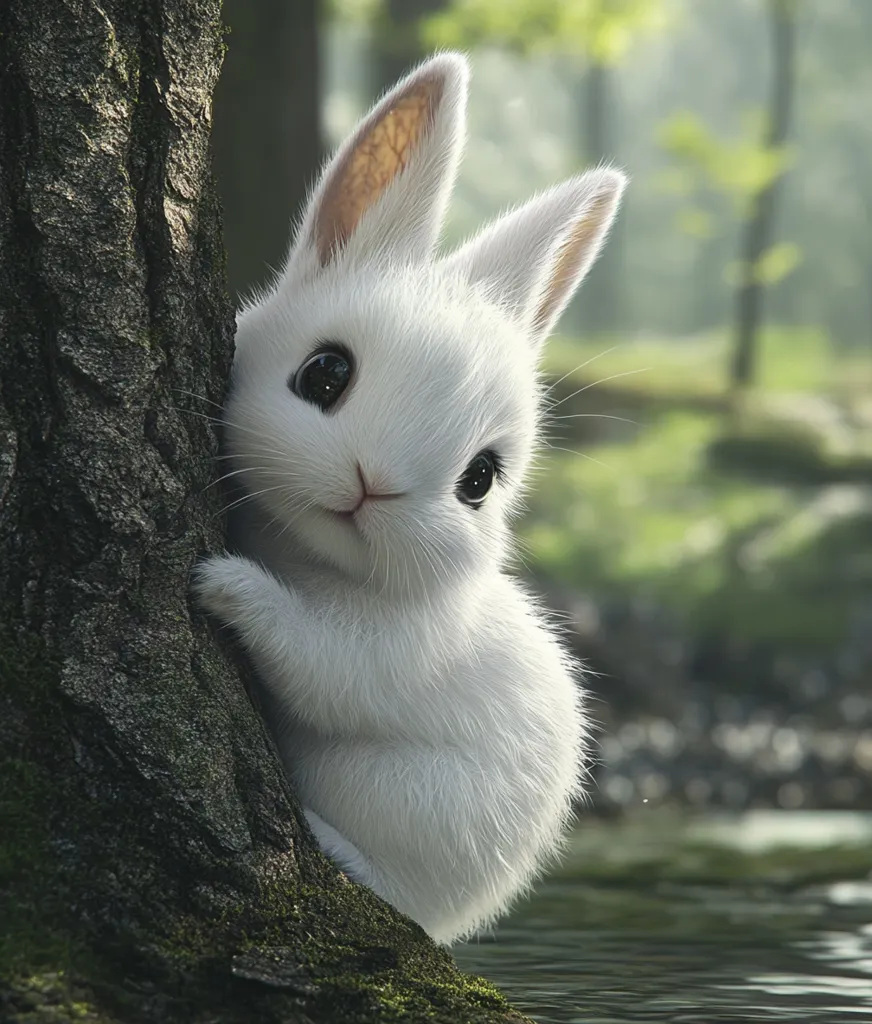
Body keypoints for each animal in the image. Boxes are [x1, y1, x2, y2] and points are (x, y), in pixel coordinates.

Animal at [192, 51, 626, 945]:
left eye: (479, 481)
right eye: (324, 372)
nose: (374, 486)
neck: (304, 552)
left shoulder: (383, 651)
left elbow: (312, 658)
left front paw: (225, 585)